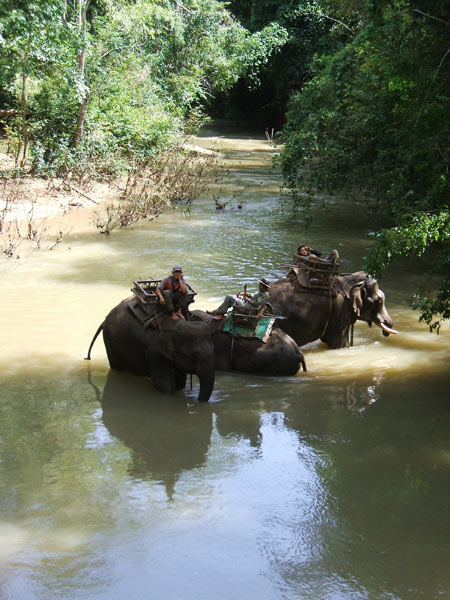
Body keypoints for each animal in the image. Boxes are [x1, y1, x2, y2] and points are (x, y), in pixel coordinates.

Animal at [87, 296, 216, 404]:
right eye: (193, 357)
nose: (196, 401)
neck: (178, 325)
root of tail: (105, 320)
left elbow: (180, 382)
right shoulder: (156, 352)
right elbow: (165, 387)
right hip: (109, 340)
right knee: (116, 367)